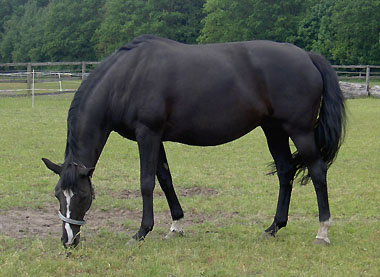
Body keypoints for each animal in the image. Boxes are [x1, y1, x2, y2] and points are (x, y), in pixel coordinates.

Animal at [43, 34, 346, 246]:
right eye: (58, 194)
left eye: (83, 196)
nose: (68, 241)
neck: (126, 77)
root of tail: (307, 56)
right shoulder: (156, 138)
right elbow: (165, 179)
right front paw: (176, 226)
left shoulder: (147, 134)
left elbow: (146, 182)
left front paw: (141, 232)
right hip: (273, 129)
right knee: (285, 172)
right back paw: (273, 228)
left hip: (299, 131)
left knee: (318, 172)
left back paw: (322, 232)